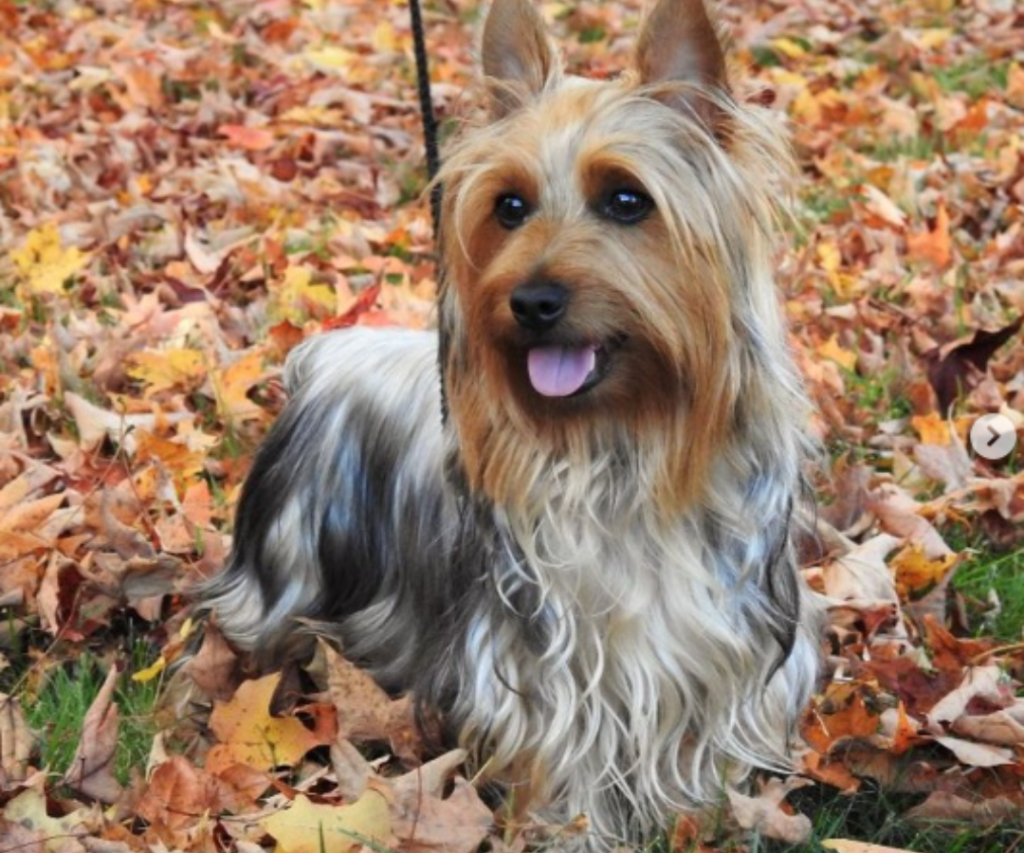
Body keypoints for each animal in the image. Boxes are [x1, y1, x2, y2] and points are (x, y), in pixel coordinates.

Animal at [197, 0, 823, 843]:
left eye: (628, 200)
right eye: (510, 206)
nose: (530, 301)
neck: (621, 440)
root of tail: (324, 358)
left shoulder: (722, 647)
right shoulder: (548, 669)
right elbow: (566, 755)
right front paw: (577, 831)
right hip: (285, 568)